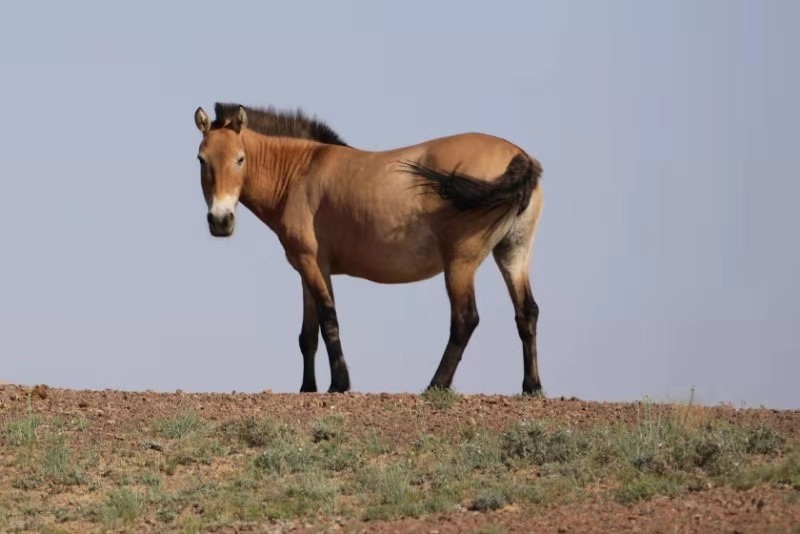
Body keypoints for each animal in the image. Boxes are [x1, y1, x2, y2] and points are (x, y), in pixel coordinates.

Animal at [194, 104, 544, 396]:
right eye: (202, 160)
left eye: (240, 159)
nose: (220, 221)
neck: (299, 171)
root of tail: (518, 156)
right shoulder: (310, 268)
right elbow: (308, 335)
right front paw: (307, 388)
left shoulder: (311, 263)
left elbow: (328, 319)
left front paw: (339, 384)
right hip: (512, 253)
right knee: (526, 313)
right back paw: (532, 388)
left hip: (460, 262)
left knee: (465, 319)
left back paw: (436, 385)